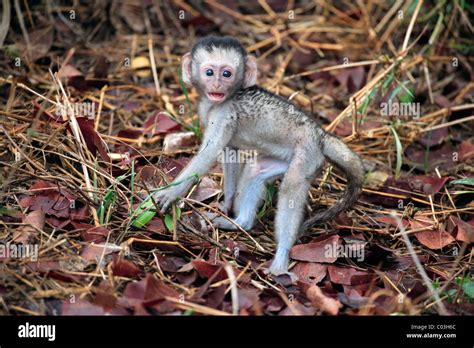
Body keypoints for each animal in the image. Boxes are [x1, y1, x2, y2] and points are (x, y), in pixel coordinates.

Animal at [154, 34, 364, 274]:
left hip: (307, 153)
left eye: (227, 74)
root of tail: (320, 134)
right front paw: (226, 205)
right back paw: (240, 222)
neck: (224, 99)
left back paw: (281, 258)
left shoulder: (224, 113)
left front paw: (170, 192)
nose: (217, 85)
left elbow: (209, 153)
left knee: (292, 186)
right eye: (209, 72)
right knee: (256, 170)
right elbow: (230, 152)